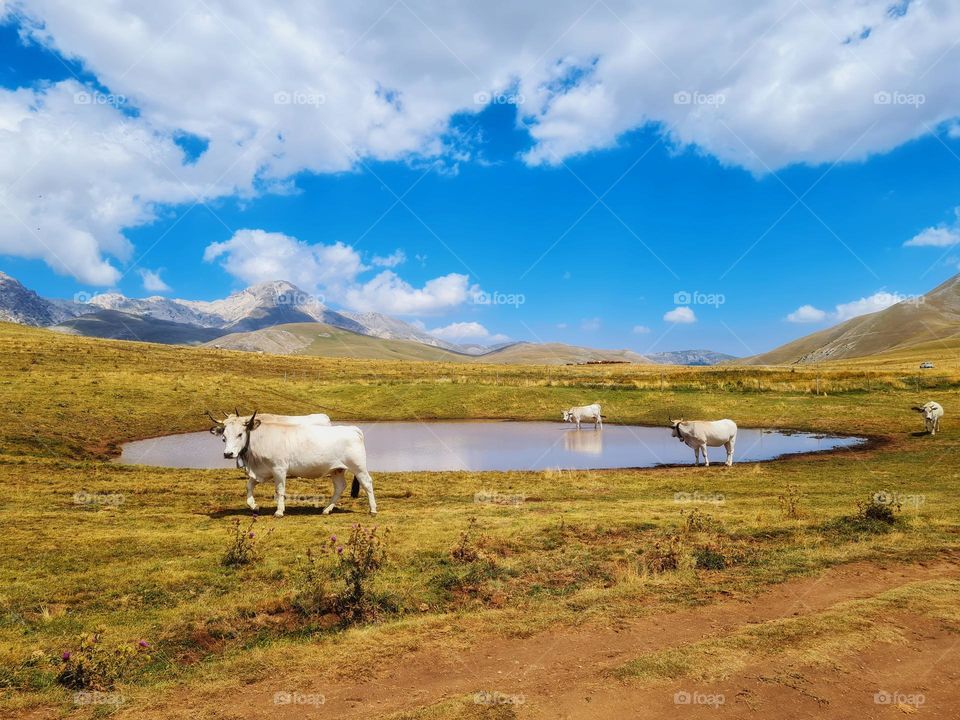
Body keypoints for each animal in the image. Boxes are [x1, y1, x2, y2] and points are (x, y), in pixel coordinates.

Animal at [208, 410, 376, 516]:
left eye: (240, 434)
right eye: (223, 436)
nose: (228, 454)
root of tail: (352, 429)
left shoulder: (279, 469)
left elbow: (280, 490)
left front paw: (279, 511)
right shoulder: (262, 470)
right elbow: (249, 486)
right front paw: (254, 506)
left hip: (358, 467)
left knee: (367, 483)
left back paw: (373, 509)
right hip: (336, 469)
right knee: (340, 487)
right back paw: (327, 509)